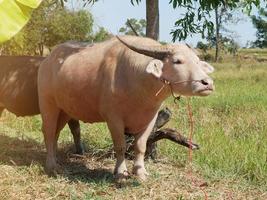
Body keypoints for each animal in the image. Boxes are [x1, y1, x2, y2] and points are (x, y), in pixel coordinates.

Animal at [38, 35, 216, 180]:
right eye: (177, 61)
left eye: (198, 62)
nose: (207, 83)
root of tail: (48, 60)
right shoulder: (113, 118)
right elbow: (121, 145)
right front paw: (121, 172)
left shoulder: (150, 119)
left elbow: (140, 146)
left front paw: (140, 171)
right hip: (48, 104)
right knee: (48, 132)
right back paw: (51, 166)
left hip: (64, 110)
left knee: (55, 133)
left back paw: (55, 160)